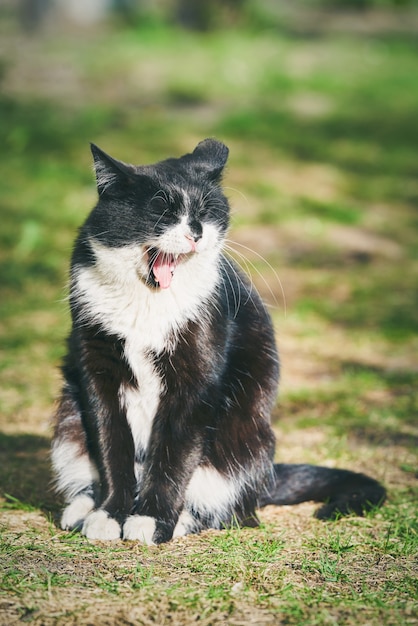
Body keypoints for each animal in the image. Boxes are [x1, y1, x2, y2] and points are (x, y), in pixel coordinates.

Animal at [50, 136, 386, 540]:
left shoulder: (197, 377)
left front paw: (151, 521)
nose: (195, 231)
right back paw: (80, 509)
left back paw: (181, 520)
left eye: (207, 210)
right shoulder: (97, 367)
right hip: (69, 417)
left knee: (234, 509)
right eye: (161, 211)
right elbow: (111, 444)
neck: (150, 302)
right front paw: (109, 515)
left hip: (243, 440)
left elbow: (174, 455)